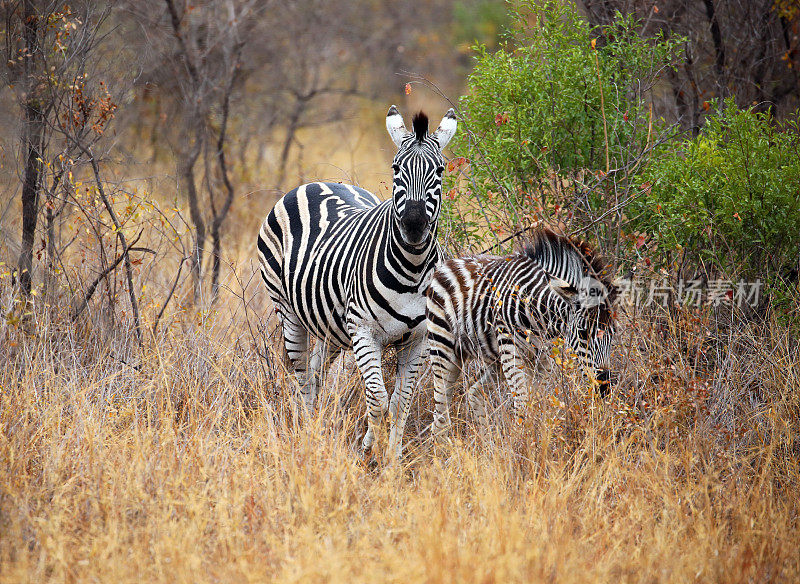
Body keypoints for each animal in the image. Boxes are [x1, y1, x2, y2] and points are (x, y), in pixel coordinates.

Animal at [258, 105, 456, 460]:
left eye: (439, 170)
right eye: (395, 168)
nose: (414, 225)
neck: (412, 269)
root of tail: (315, 183)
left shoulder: (418, 339)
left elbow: (400, 402)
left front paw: (392, 460)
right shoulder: (364, 332)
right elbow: (377, 400)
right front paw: (369, 452)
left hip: (329, 325)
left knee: (316, 372)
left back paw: (317, 427)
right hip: (287, 310)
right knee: (302, 377)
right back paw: (307, 435)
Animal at [424, 228, 620, 434]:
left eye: (612, 335)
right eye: (583, 333)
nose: (604, 387)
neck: (541, 316)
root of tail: (448, 263)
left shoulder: (544, 358)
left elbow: (537, 400)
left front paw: (537, 433)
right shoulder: (511, 348)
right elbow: (523, 401)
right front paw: (523, 438)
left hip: (495, 359)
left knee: (473, 392)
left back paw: (488, 437)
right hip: (444, 347)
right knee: (441, 410)